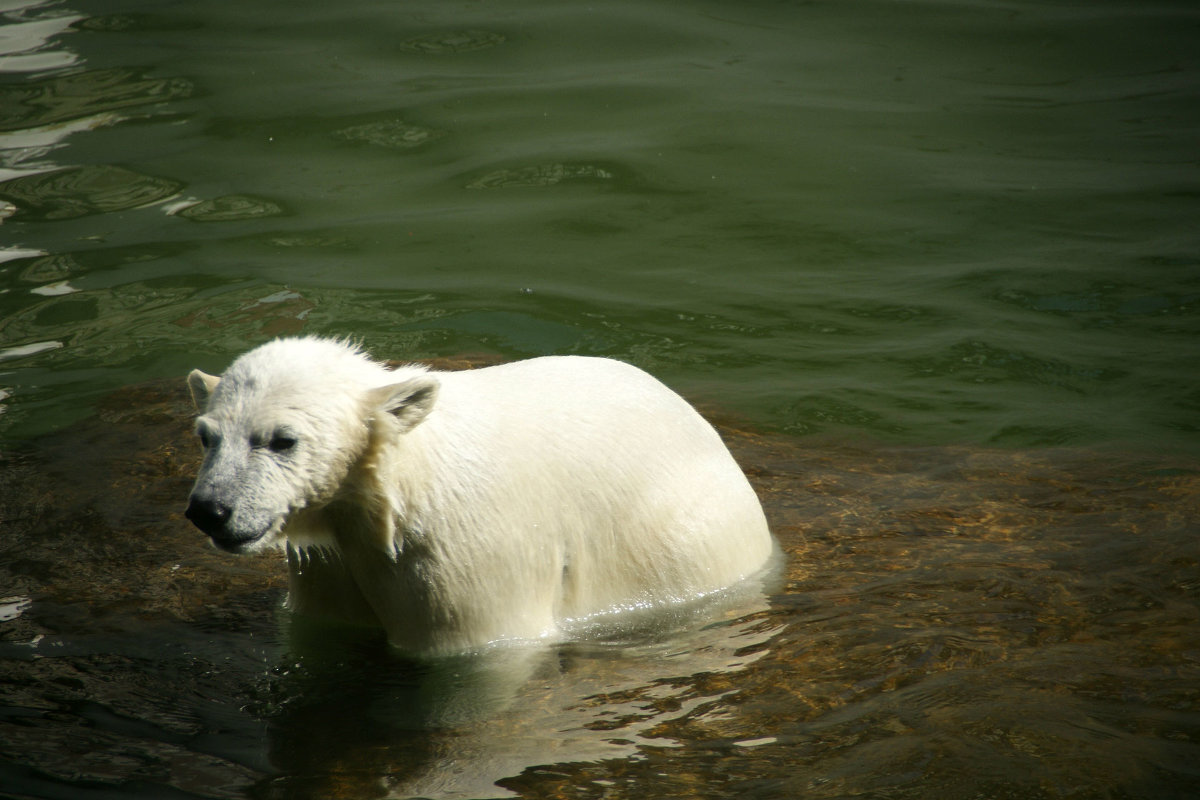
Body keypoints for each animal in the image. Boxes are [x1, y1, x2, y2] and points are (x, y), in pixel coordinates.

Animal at [182, 338, 772, 657]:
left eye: (282, 440)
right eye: (206, 436)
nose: (209, 510)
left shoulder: (466, 558)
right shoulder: (331, 560)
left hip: (686, 541)